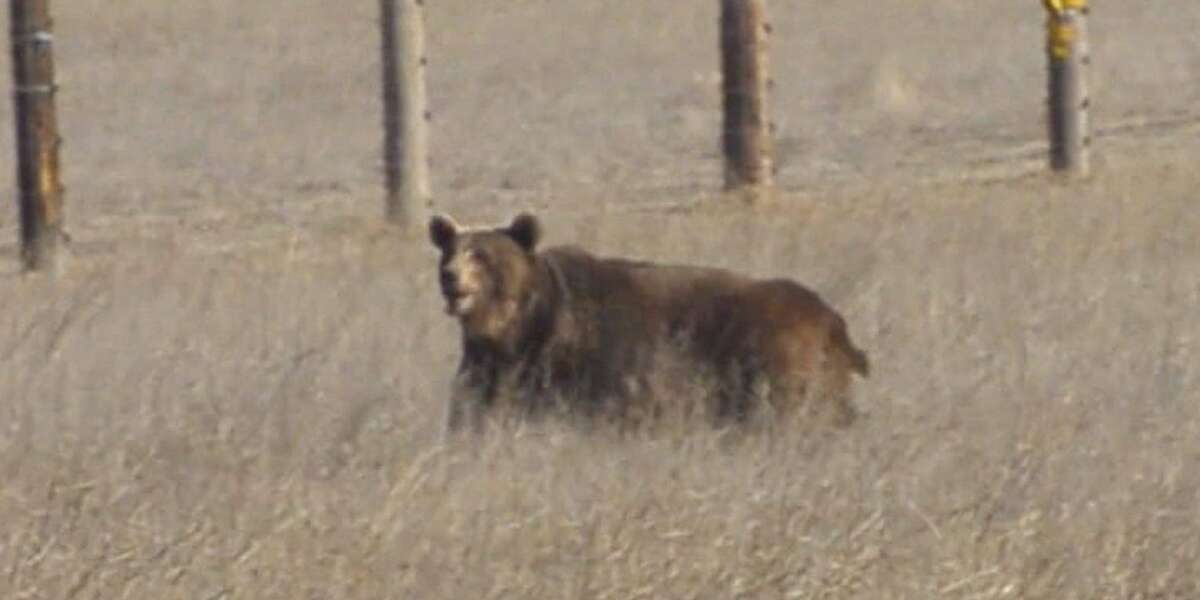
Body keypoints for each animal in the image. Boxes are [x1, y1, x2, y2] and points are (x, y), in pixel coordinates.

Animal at [428, 212, 870, 435]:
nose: (450, 276)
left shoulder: (599, 368)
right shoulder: (490, 371)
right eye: (450, 251)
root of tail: (832, 319)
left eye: (481, 255)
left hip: (776, 364)